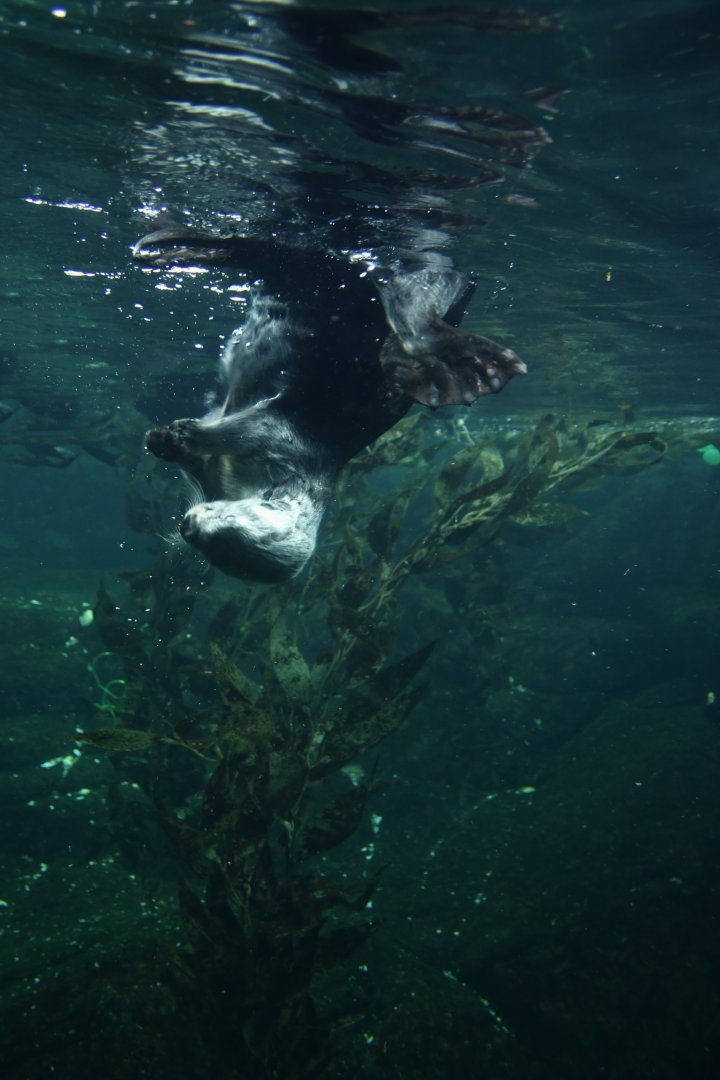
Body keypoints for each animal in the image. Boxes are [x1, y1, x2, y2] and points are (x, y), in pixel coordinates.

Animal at [135, 227, 525, 583]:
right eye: (225, 517)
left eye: (217, 543)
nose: (188, 526)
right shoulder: (282, 436)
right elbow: (236, 429)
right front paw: (169, 436)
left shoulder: (269, 442)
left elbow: (228, 437)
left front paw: (173, 438)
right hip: (338, 287)